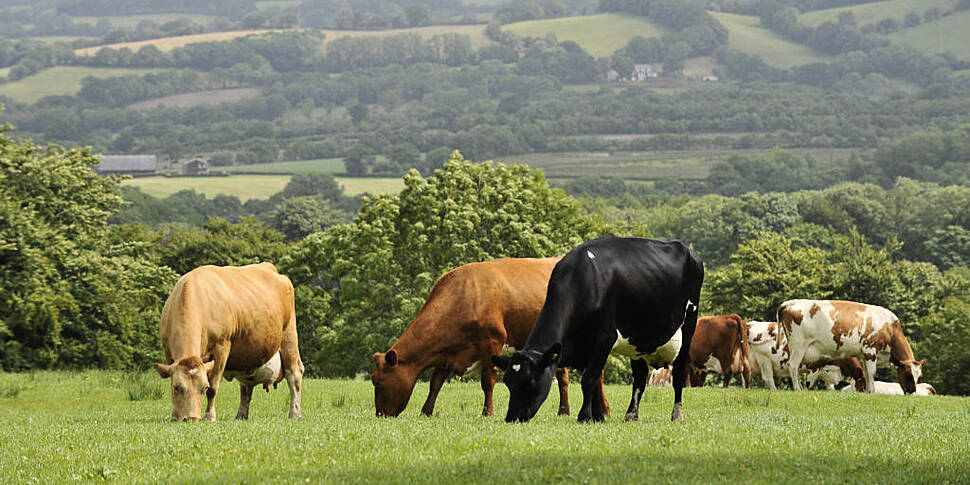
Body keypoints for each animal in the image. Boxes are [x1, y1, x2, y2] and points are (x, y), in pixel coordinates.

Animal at [155, 260, 302, 420]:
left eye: (204, 387)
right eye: (176, 387)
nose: (192, 418)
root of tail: (270, 268)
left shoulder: (222, 347)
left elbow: (213, 387)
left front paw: (210, 416)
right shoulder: (168, 351)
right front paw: (175, 415)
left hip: (289, 336)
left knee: (295, 374)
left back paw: (295, 413)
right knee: (246, 387)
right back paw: (241, 415)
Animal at [368, 258, 604, 416]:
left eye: (378, 382)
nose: (380, 415)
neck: (463, 296)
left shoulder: (492, 342)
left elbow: (487, 381)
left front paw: (487, 412)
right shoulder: (447, 351)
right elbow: (435, 383)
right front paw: (426, 412)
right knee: (564, 377)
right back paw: (564, 411)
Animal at [492, 236, 704, 422]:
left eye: (530, 382)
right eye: (508, 382)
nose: (512, 418)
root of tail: (689, 250)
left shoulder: (604, 338)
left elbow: (588, 380)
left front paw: (585, 417)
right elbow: (594, 383)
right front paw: (598, 417)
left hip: (688, 325)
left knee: (678, 373)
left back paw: (677, 414)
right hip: (638, 342)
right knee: (639, 377)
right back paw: (631, 415)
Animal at [776, 298, 928, 394]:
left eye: (919, 377)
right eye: (908, 375)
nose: (912, 393)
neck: (889, 327)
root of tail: (789, 302)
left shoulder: (864, 354)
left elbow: (867, 373)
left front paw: (868, 391)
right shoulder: (870, 350)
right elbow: (872, 373)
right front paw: (872, 392)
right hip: (799, 344)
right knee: (793, 366)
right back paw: (798, 389)